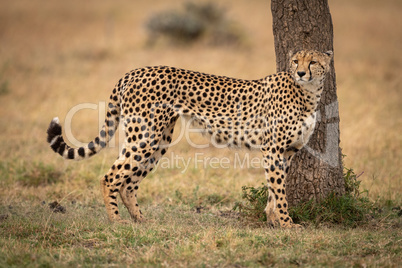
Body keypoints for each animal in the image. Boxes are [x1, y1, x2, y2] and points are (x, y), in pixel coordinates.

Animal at [46, 49, 332, 227]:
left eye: (313, 62)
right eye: (296, 61)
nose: (301, 73)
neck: (308, 93)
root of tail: (135, 71)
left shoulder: (287, 151)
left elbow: (274, 189)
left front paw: (273, 220)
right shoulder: (273, 149)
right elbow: (279, 189)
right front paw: (287, 224)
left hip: (159, 140)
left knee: (129, 183)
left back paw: (140, 220)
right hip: (145, 136)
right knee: (111, 176)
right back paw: (116, 220)